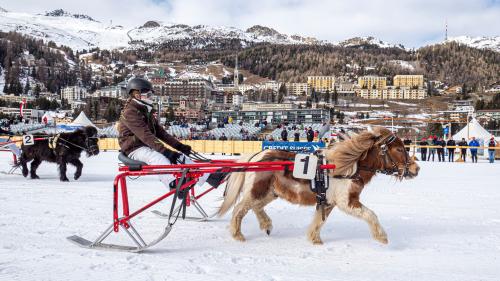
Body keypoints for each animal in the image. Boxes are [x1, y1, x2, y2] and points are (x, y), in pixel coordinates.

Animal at [219, 126, 418, 244]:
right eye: (399, 149)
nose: (416, 168)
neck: (347, 168)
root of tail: (255, 156)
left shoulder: (328, 202)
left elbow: (319, 221)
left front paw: (314, 238)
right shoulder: (347, 202)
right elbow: (371, 215)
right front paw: (381, 236)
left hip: (269, 192)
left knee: (255, 207)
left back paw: (266, 224)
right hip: (257, 191)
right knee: (239, 210)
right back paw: (237, 234)